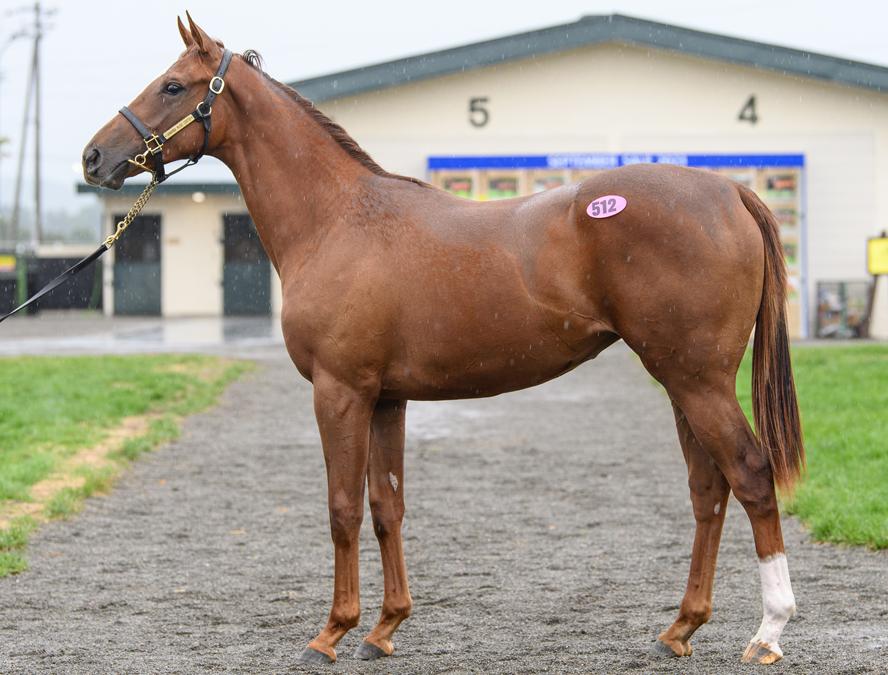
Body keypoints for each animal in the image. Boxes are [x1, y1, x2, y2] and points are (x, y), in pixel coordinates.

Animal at [82, 14, 804, 666]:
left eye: (173, 85)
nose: (94, 157)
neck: (336, 219)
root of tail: (731, 191)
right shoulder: (385, 398)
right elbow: (386, 505)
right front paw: (384, 628)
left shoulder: (339, 392)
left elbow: (342, 507)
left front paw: (332, 632)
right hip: (679, 380)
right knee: (708, 490)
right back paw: (680, 627)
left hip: (697, 379)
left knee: (750, 472)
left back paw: (768, 631)